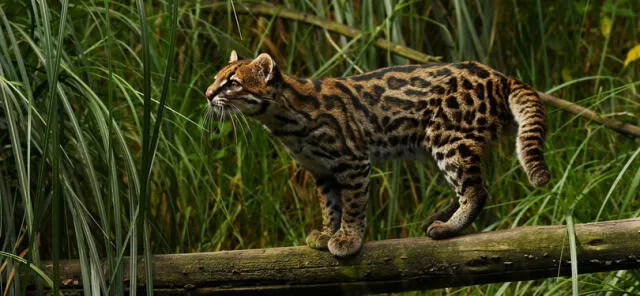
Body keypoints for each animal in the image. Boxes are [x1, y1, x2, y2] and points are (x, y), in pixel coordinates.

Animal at [206, 51, 552, 256]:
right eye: (215, 79)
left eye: (232, 83)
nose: (207, 94)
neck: (284, 121)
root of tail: (499, 75)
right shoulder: (322, 171)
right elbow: (330, 205)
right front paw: (327, 232)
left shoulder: (353, 162)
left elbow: (353, 206)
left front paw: (347, 239)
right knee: (471, 185)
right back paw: (440, 217)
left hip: (448, 138)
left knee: (476, 189)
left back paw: (449, 227)